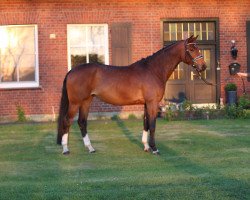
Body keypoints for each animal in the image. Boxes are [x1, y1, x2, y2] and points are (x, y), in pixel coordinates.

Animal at [57, 35, 206, 155]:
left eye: (198, 48)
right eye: (191, 49)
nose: (203, 66)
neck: (153, 70)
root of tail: (71, 71)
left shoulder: (146, 103)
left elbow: (146, 123)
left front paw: (146, 147)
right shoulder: (152, 103)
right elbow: (152, 125)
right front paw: (154, 148)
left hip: (86, 101)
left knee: (82, 122)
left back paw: (90, 148)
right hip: (75, 102)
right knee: (67, 120)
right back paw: (65, 149)